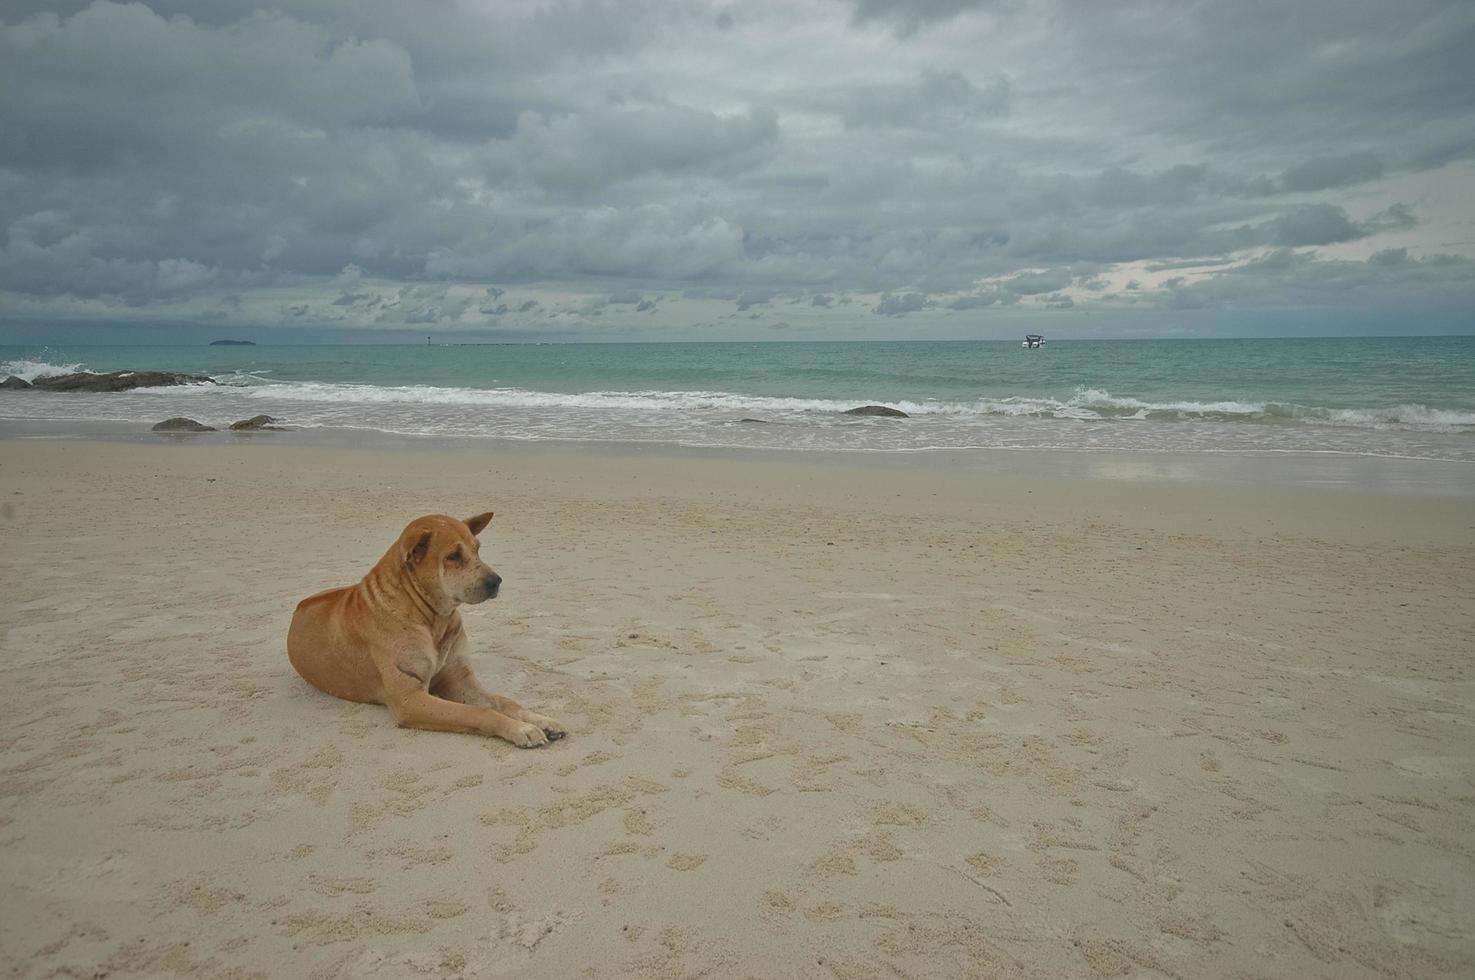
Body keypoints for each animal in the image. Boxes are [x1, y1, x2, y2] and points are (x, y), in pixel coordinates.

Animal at [286, 507, 563, 746]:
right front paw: (520, 729)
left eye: (477, 549)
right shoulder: (409, 699)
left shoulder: (459, 680)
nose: (496, 581)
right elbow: (477, 712)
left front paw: (539, 719)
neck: (434, 618)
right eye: (453, 556)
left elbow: (504, 702)